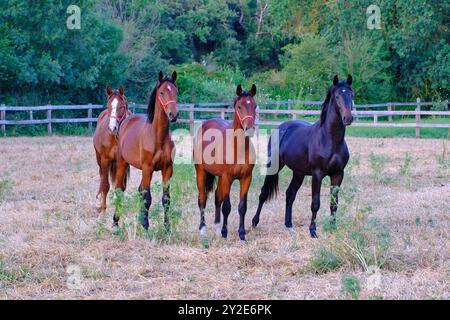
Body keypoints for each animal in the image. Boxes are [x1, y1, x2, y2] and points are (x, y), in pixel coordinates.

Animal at [113, 71, 178, 229]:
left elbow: (166, 199)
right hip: (122, 164)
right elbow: (147, 197)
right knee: (119, 190)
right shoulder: (148, 168)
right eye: (161, 92)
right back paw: (115, 223)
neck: (158, 137)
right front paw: (145, 226)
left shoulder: (167, 169)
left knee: (139, 191)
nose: (173, 115)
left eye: (176, 91)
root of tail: (125, 121)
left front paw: (167, 228)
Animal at [192, 85, 256, 240]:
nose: (249, 129)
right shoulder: (228, 177)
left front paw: (241, 234)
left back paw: (217, 227)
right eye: (239, 106)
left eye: (255, 106)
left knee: (216, 197)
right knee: (202, 198)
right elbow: (227, 207)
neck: (238, 149)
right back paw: (203, 229)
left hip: (220, 177)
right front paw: (225, 233)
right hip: (201, 172)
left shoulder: (246, 178)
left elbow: (242, 207)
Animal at [251, 75, 354, 238]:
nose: (348, 118)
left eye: (351, 94)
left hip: (298, 173)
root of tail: (281, 128)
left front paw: (333, 227)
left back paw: (289, 225)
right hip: (274, 166)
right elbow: (315, 203)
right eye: (337, 96)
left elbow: (334, 203)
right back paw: (255, 222)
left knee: (290, 194)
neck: (329, 139)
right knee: (264, 193)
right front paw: (313, 231)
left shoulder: (338, 174)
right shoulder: (317, 174)